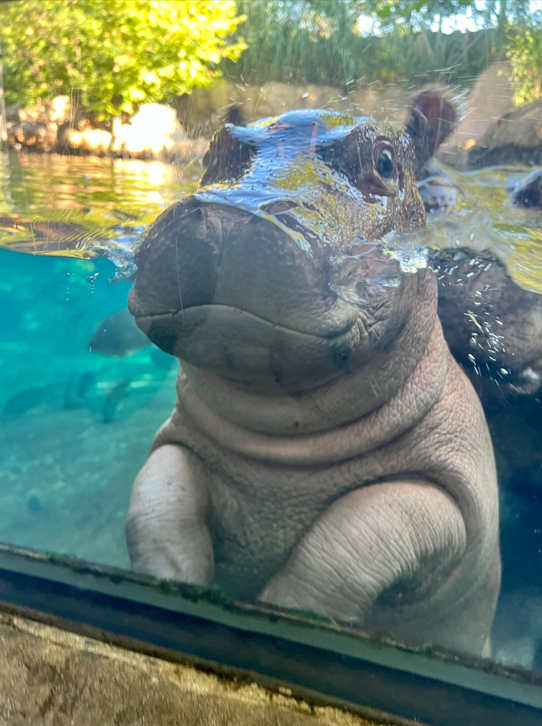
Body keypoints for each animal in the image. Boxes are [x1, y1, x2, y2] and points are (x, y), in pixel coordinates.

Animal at [125, 91, 500, 656]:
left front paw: (280, 615)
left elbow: (349, 542)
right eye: (212, 150)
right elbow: (157, 506)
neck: (283, 442)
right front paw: (171, 589)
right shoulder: (177, 445)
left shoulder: (450, 490)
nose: (233, 213)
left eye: (385, 161)